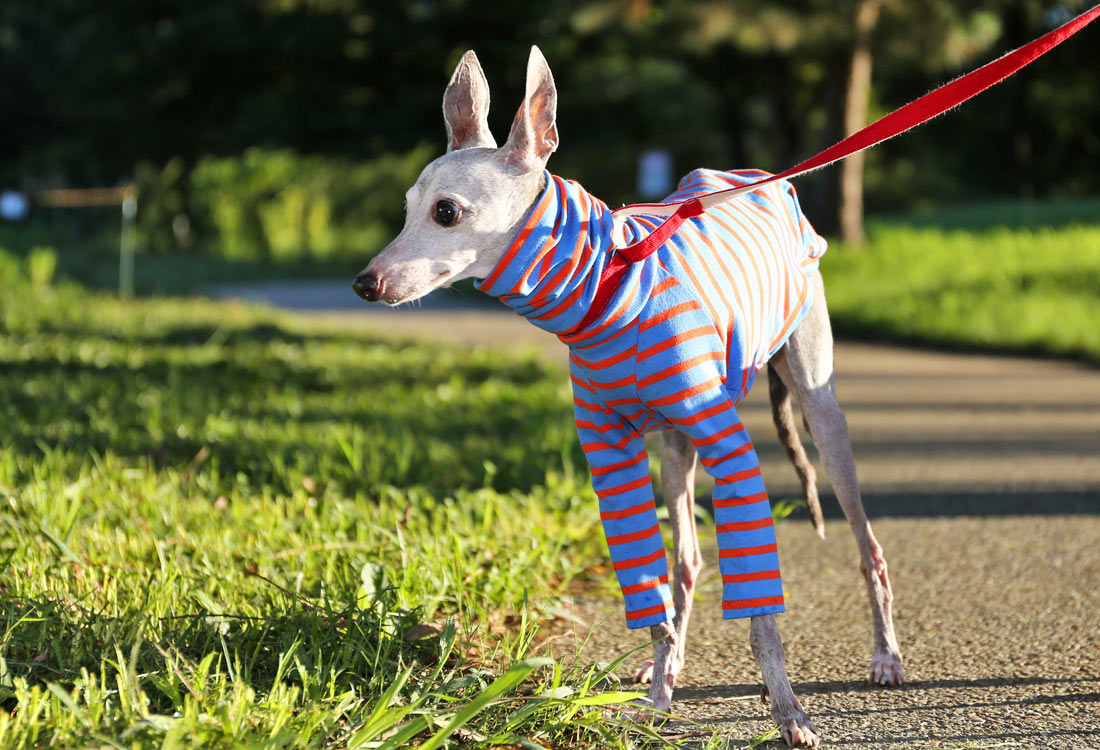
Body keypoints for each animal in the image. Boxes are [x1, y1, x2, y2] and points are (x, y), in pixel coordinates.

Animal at [354, 46, 902, 743]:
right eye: (406, 207)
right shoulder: (610, 455)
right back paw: (667, 665)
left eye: (446, 212)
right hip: (673, 447)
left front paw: (788, 713)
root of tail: (765, 178)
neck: (608, 288)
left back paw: (885, 654)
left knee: (867, 546)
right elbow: (653, 591)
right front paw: (658, 696)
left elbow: (761, 616)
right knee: (688, 560)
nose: (365, 284)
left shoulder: (732, 450)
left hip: (818, 412)